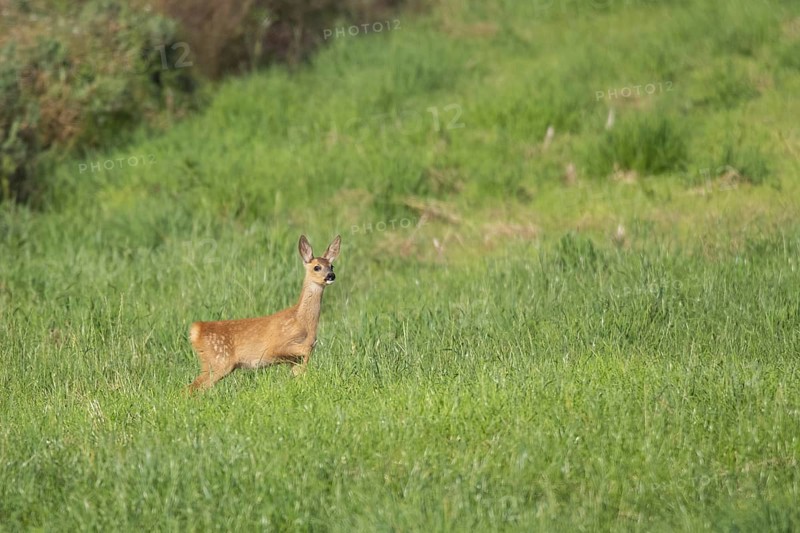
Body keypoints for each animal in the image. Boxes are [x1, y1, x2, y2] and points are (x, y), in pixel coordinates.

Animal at [187, 234, 340, 391]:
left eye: (332, 266)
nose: (331, 275)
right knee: (190, 389)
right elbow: (306, 350)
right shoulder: (277, 347)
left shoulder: (294, 359)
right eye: (317, 267)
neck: (303, 321)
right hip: (218, 362)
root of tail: (196, 330)